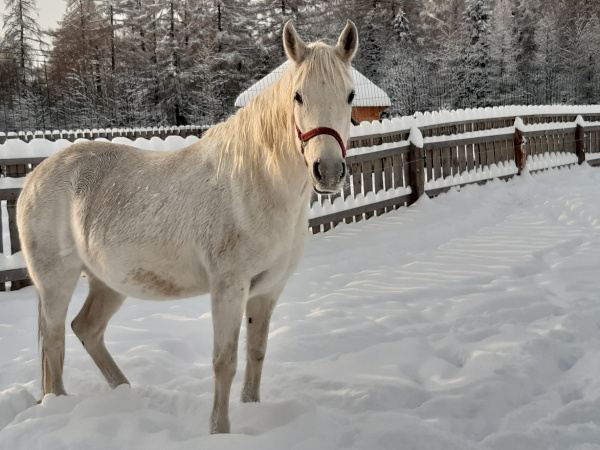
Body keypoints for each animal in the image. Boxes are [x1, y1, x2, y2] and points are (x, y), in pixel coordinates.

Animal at [17, 20, 356, 432]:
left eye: (350, 95)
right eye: (298, 96)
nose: (329, 171)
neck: (256, 185)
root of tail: (35, 177)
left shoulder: (267, 290)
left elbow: (256, 354)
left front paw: (252, 411)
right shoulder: (228, 288)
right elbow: (225, 362)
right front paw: (219, 431)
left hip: (108, 282)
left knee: (86, 329)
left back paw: (125, 392)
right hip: (56, 281)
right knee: (54, 343)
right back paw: (60, 404)